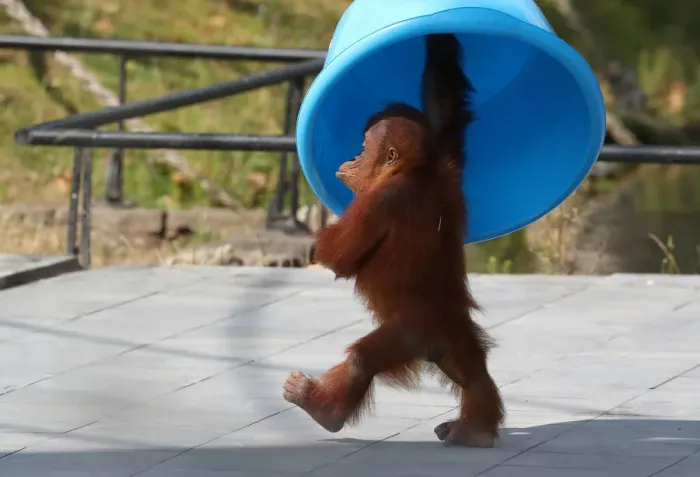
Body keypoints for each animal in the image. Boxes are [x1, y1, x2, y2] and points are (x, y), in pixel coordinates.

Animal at [283, 34, 504, 447]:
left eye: (363, 147)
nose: (352, 157)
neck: (412, 173)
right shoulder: (446, 162)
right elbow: (444, 109)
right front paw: (437, 37)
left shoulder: (379, 202)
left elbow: (339, 257)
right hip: (451, 340)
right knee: (474, 374)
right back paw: (476, 429)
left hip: (411, 332)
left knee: (362, 359)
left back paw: (324, 409)